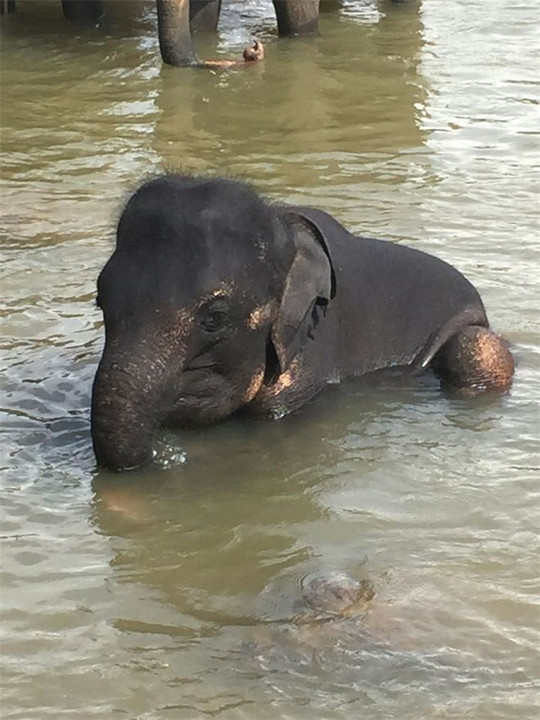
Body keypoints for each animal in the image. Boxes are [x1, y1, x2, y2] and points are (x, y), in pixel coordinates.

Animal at [92, 172, 516, 470]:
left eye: (214, 318)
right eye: (100, 302)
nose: (165, 453)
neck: (283, 228)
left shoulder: (312, 349)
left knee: (475, 349)